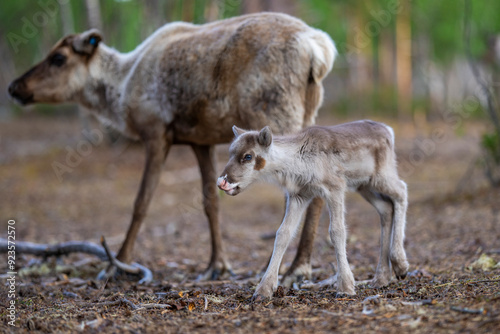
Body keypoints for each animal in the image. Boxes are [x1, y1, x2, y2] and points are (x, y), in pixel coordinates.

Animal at [219, 121, 410, 298]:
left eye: (248, 156)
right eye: (230, 152)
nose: (222, 181)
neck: (296, 164)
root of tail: (389, 130)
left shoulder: (335, 187)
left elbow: (337, 231)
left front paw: (346, 287)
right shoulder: (299, 195)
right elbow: (283, 233)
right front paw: (263, 290)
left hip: (381, 175)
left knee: (401, 190)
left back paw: (400, 265)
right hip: (364, 185)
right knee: (386, 207)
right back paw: (381, 278)